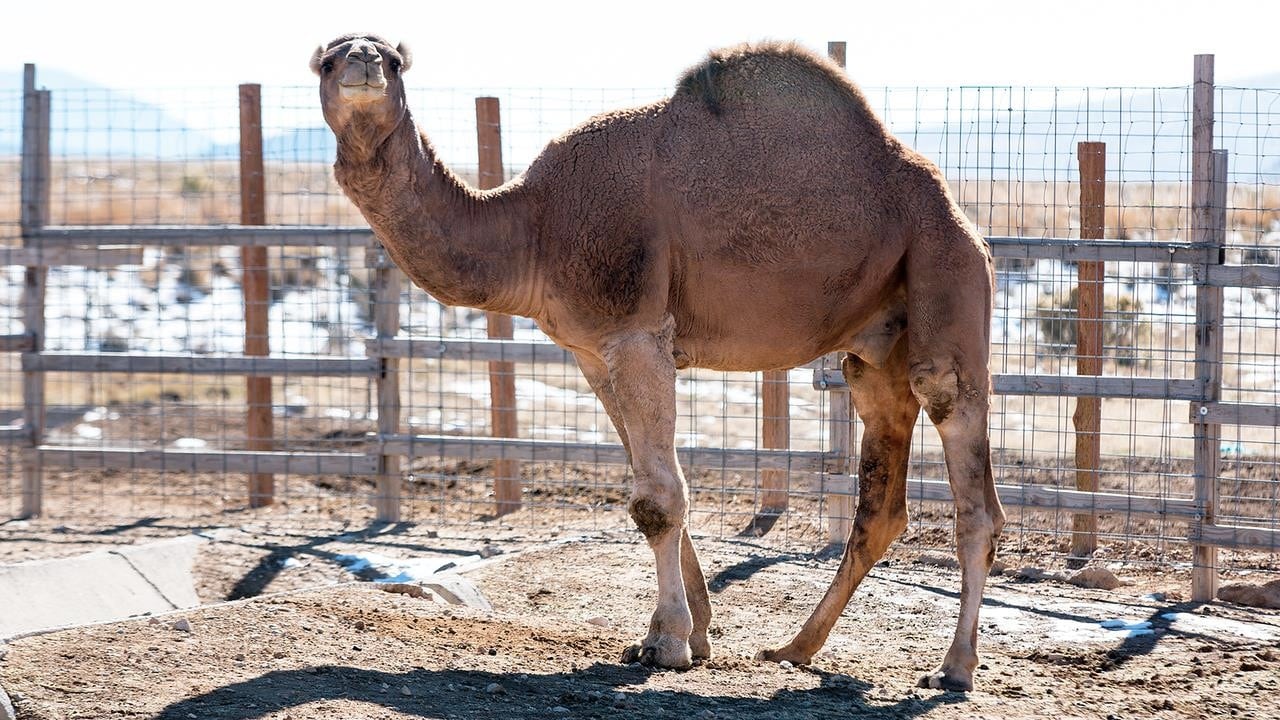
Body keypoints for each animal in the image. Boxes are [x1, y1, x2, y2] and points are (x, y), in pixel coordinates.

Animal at [314, 33, 1003, 691]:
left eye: (394, 61)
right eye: (325, 60)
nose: (362, 62)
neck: (534, 226)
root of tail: (962, 215)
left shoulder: (638, 332)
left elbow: (659, 498)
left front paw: (668, 645)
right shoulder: (594, 352)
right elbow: (653, 481)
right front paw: (693, 634)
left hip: (943, 267)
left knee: (963, 457)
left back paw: (955, 667)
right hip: (877, 346)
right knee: (882, 496)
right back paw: (793, 649)